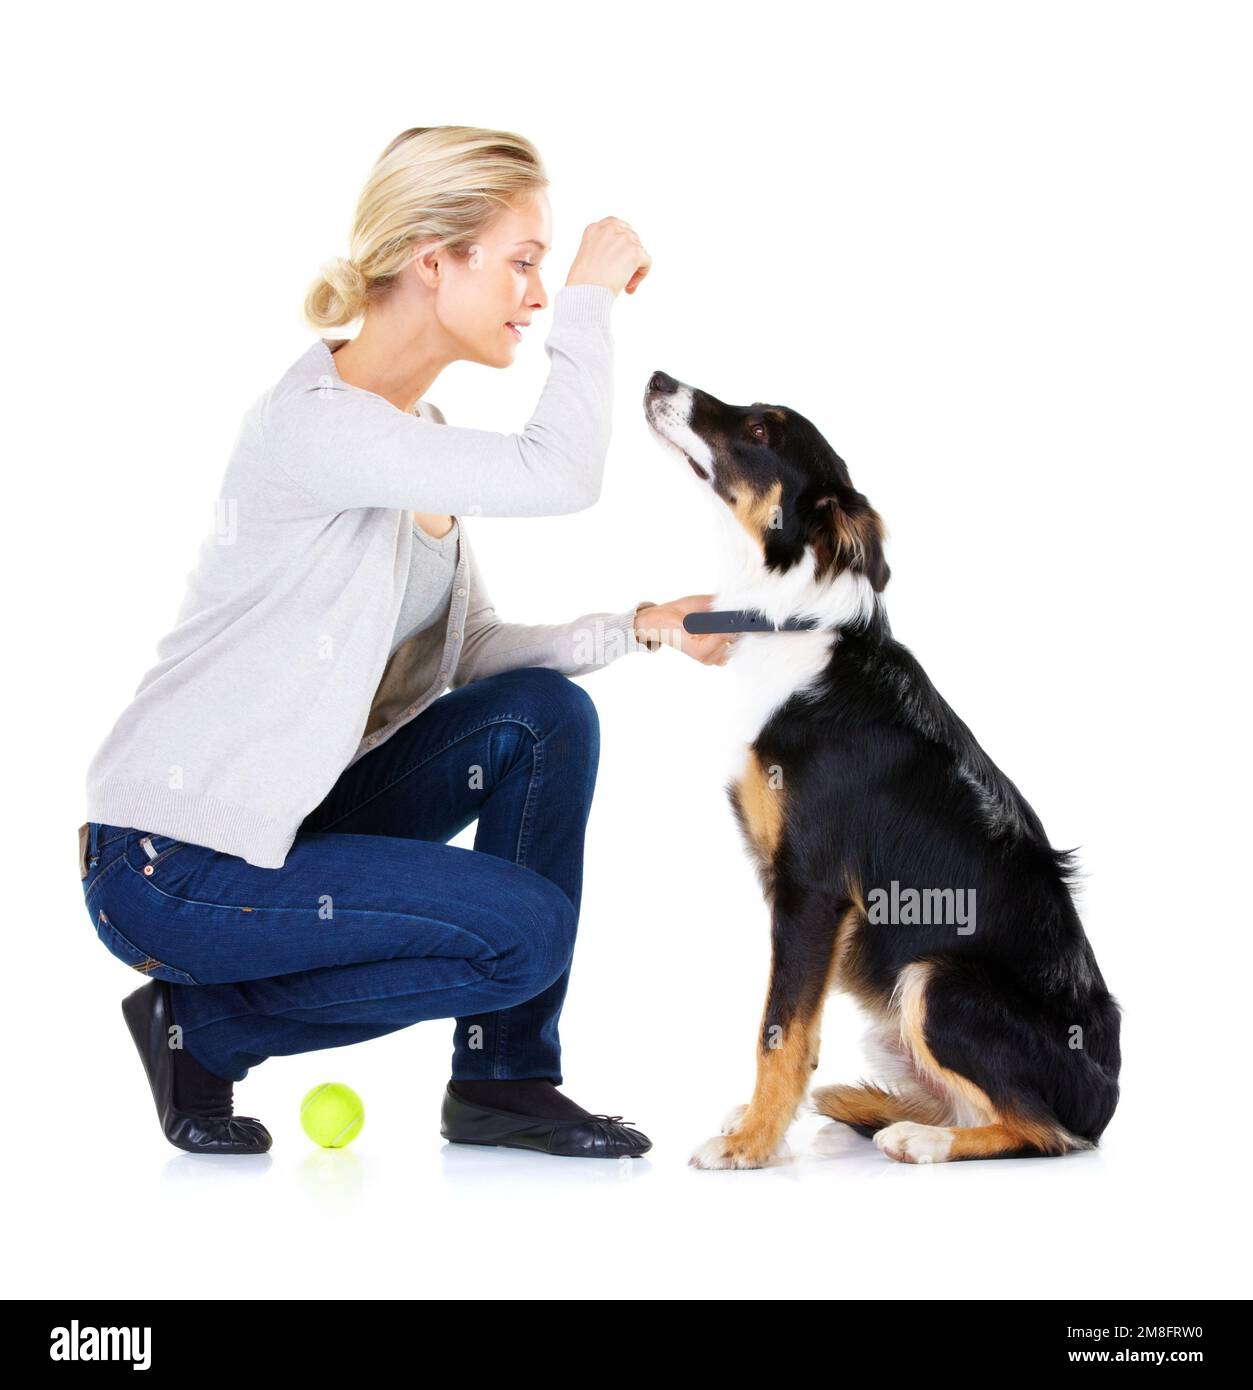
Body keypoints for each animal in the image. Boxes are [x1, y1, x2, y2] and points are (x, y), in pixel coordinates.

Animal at [639, 366, 1118, 1162]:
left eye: (760, 430)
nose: (657, 377)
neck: (789, 620)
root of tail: (1108, 1099)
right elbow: (795, 1032)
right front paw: (759, 1126)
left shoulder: (811, 886)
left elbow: (778, 1029)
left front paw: (753, 1144)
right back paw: (863, 1110)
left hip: (934, 981)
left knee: (1041, 1131)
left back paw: (921, 1142)